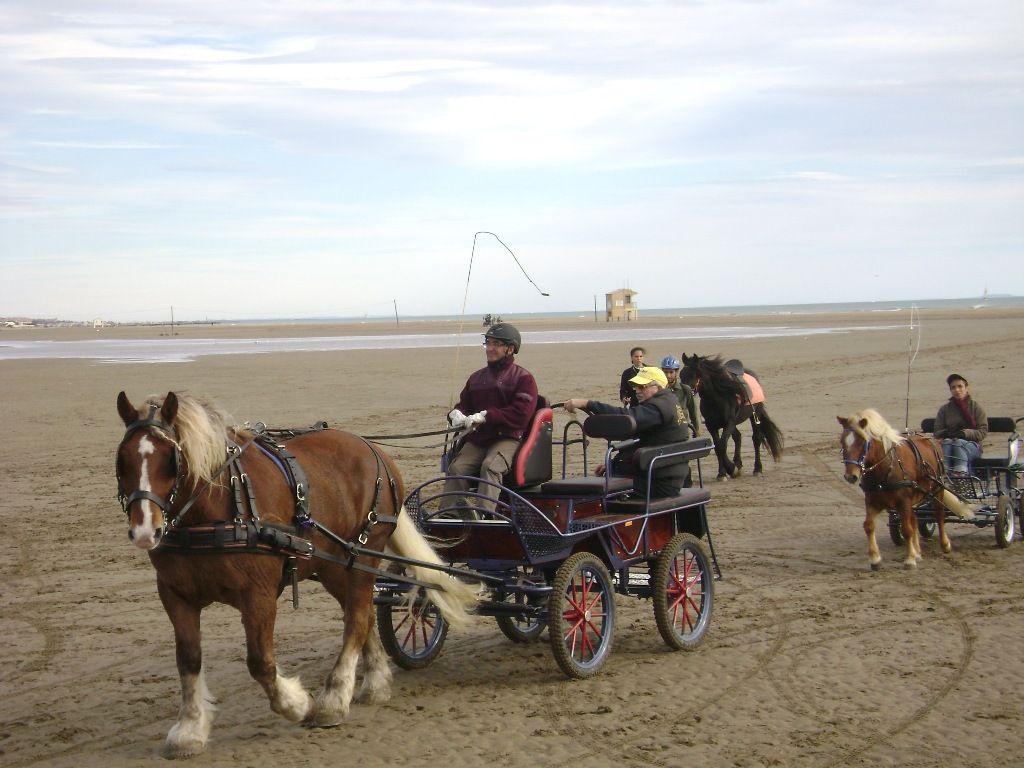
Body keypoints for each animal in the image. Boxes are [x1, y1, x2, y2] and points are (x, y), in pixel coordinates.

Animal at [115, 391, 478, 758]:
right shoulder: (175, 595)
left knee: (357, 621)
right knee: (361, 616)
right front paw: (189, 730)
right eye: (122, 461)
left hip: (364, 553)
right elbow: (188, 661)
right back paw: (374, 683)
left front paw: (299, 705)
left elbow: (260, 662)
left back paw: (334, 700)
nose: (145, 532)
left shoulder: (258, 594)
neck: (218, 505)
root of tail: (375, 451)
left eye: (170, 461)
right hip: (335, 565)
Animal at [837, 408, 974, 570]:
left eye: (863, 442)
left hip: (937, 489)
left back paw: (944, 544)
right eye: (842, 442)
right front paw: (875, 559)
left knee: (939, 516)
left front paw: (909, 560)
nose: (850, 476)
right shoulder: (872, 501)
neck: (887, 468)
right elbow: (869, 526)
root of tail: (931, 439)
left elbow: (907, 529)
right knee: (914, 519)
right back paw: (917, 552)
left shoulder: (904, 501)